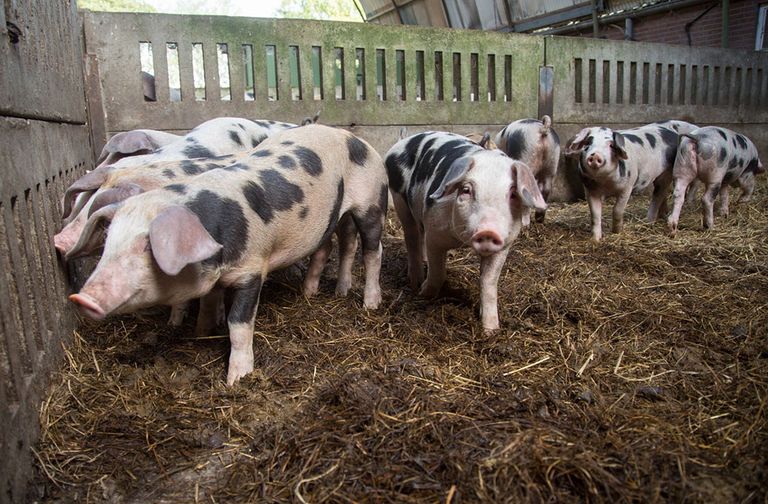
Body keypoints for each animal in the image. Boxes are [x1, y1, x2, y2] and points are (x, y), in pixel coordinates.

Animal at [68, 124, 388, 384]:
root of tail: (355, 138)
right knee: (330, 247)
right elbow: (208, 305)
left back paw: (370, 304)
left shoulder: (252, 270)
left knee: (373, 250)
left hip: (372, 200)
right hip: (324, 221)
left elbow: (239, 324)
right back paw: (317, 293)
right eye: (108, 242)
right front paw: (201, 333)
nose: (81, 298)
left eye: (147, 246)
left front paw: (238, 379)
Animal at [384, 132, 544, 332]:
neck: (461, 240)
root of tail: (403, 141)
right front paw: (424, 294)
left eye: (513, 194)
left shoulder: (504, 245)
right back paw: (415, 282)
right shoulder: (435, 234)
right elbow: (438, 272)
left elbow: (488, 281)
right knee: (411, 237)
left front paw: (491, 330)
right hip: (400, 199)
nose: (488, 231)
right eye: (466, 190)